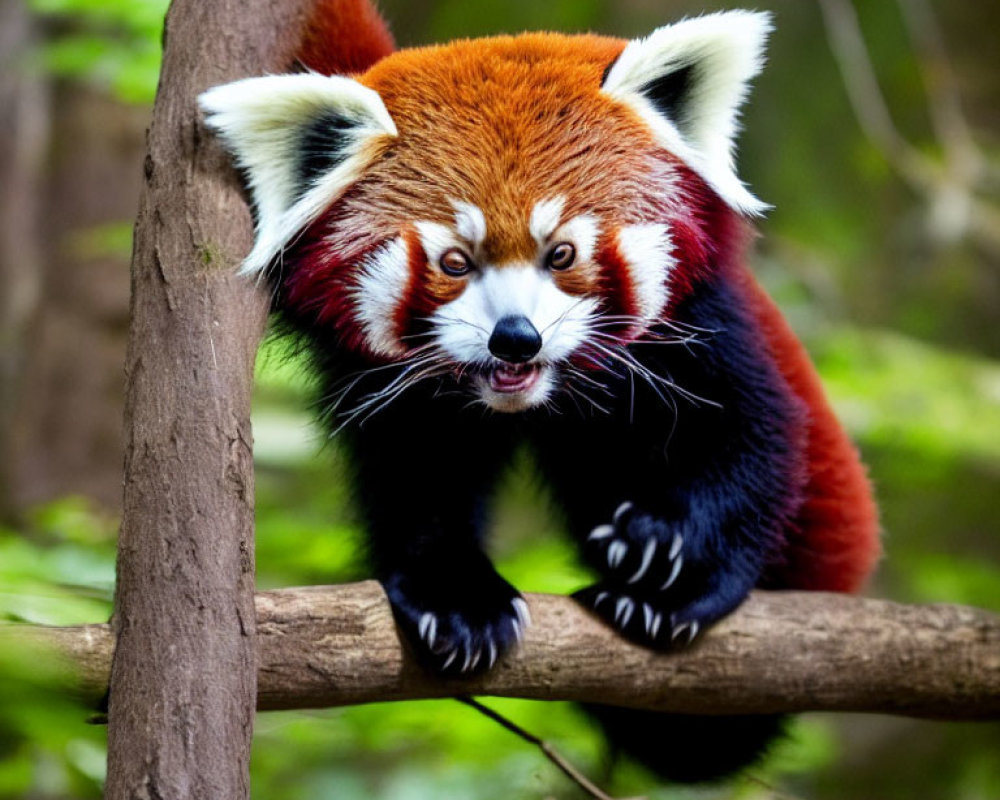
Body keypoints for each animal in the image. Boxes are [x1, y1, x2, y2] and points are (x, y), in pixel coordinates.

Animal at [199, 0, 880, 784]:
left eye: (562, 253)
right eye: (453, 262)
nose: (515, 339)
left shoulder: (702, 321)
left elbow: (748, 438)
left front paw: (670, 564)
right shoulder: (383, 384)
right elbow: (419, 475)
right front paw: (456, 597)